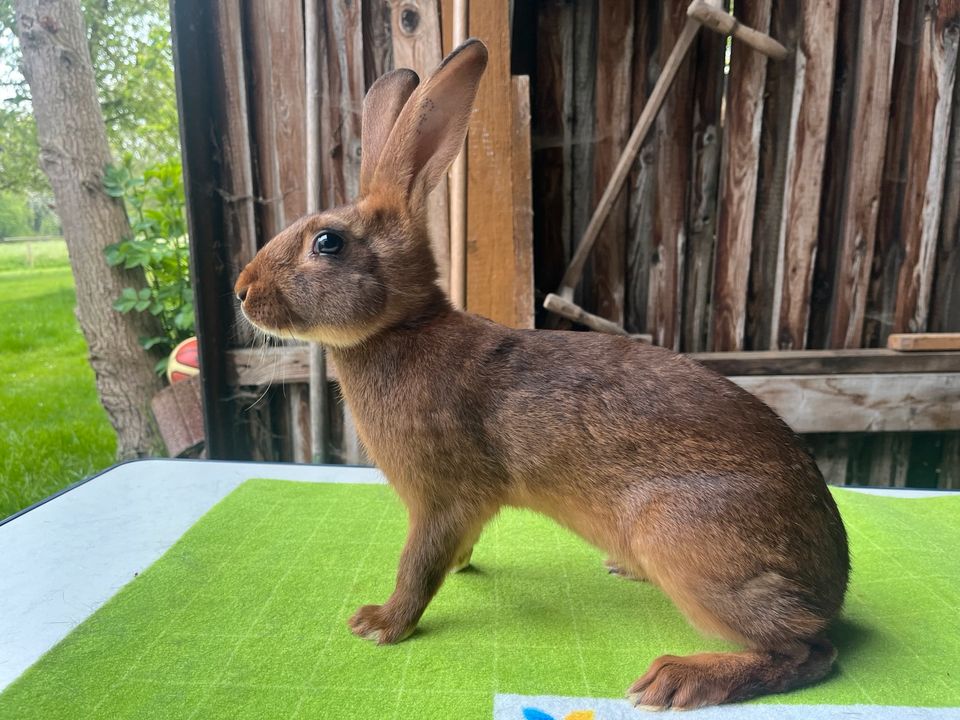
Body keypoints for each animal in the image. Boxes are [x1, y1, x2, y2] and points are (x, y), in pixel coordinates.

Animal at [234, 39, 848, 708]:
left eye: (327, 242)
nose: (241, 290)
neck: (400, 328)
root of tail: (834, 581)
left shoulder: (441, 496)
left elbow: (418, 564)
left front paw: (380, 624)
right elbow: (452, 551)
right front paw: (456, 570)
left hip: (686, 542)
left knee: (807, 652)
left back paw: (677, 678)